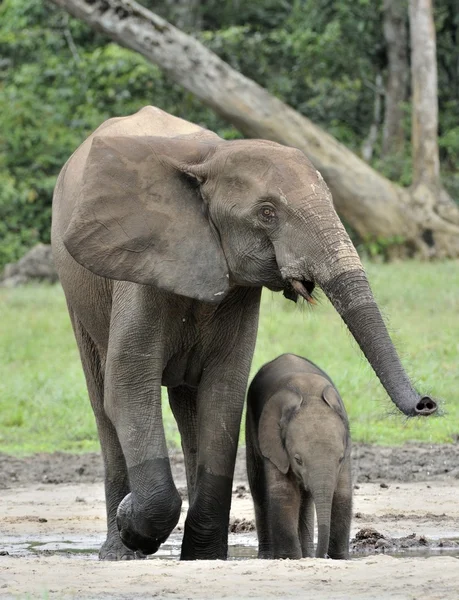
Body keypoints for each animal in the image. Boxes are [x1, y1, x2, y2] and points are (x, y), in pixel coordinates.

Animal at [248, 354, 352, 560]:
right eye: (297, 460)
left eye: (339, 459)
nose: (323, 556)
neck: (309, 392)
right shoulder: (274, 444)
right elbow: (284, 493)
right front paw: (290, 557)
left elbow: (343, 493)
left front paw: (340, 558)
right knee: (259, 490)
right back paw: (267, 556)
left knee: (306, 499)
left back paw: (307, 554)